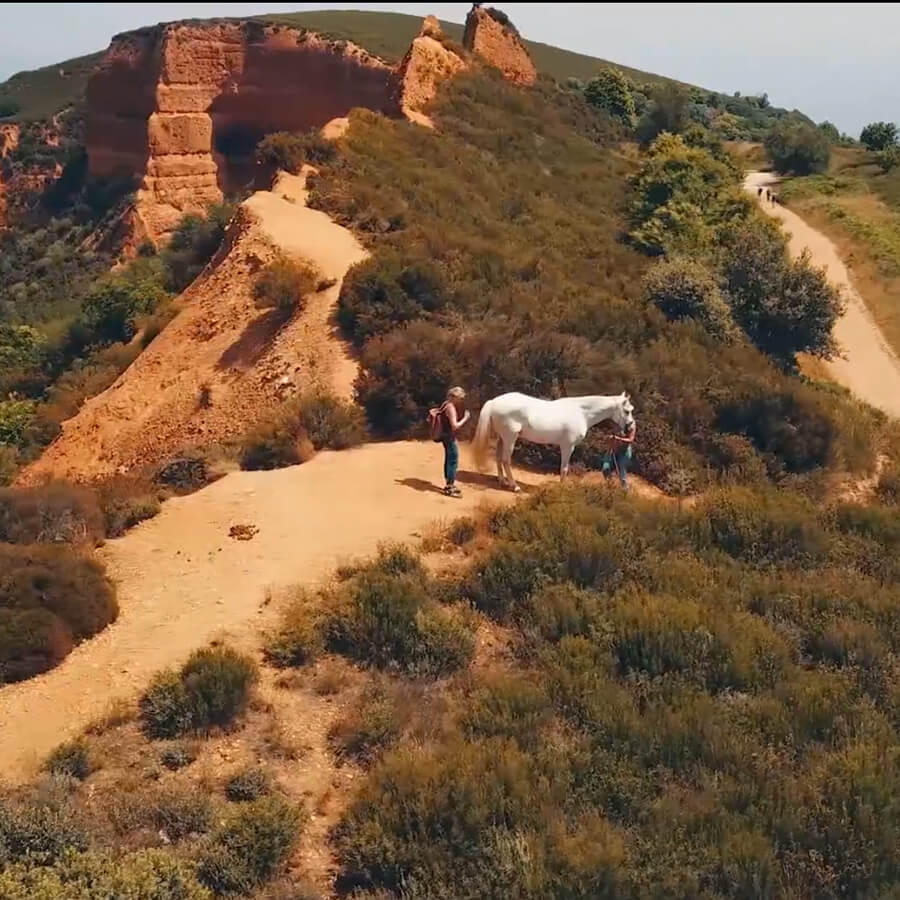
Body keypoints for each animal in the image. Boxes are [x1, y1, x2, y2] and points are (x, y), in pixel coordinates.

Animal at [470, 391, 635, 492]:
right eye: (627, 411)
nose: (630, 427)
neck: (582, 412)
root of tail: (494, 402)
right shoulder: (568, 447)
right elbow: (564, 469)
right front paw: (562, 488)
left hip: (502, 438)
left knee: (498, 458)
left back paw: (502, 481)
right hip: (510, 438)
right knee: (505, 460)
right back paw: (515, 486)